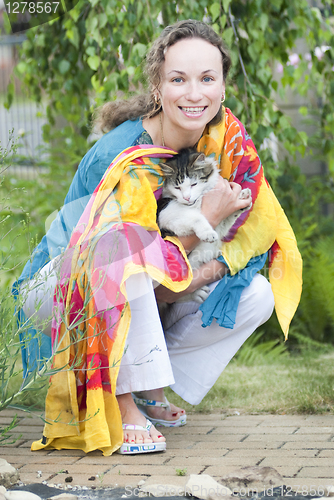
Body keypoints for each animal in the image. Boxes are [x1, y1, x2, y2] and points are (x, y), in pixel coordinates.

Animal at [158, 148, 252, 302]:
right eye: (177, 187)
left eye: (193, 184)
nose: (187, 198)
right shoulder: (167, 214)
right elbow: (197, 218)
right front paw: (208, 234)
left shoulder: (220, 226)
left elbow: (228, 219)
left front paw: (243, 197)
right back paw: (198, 294)